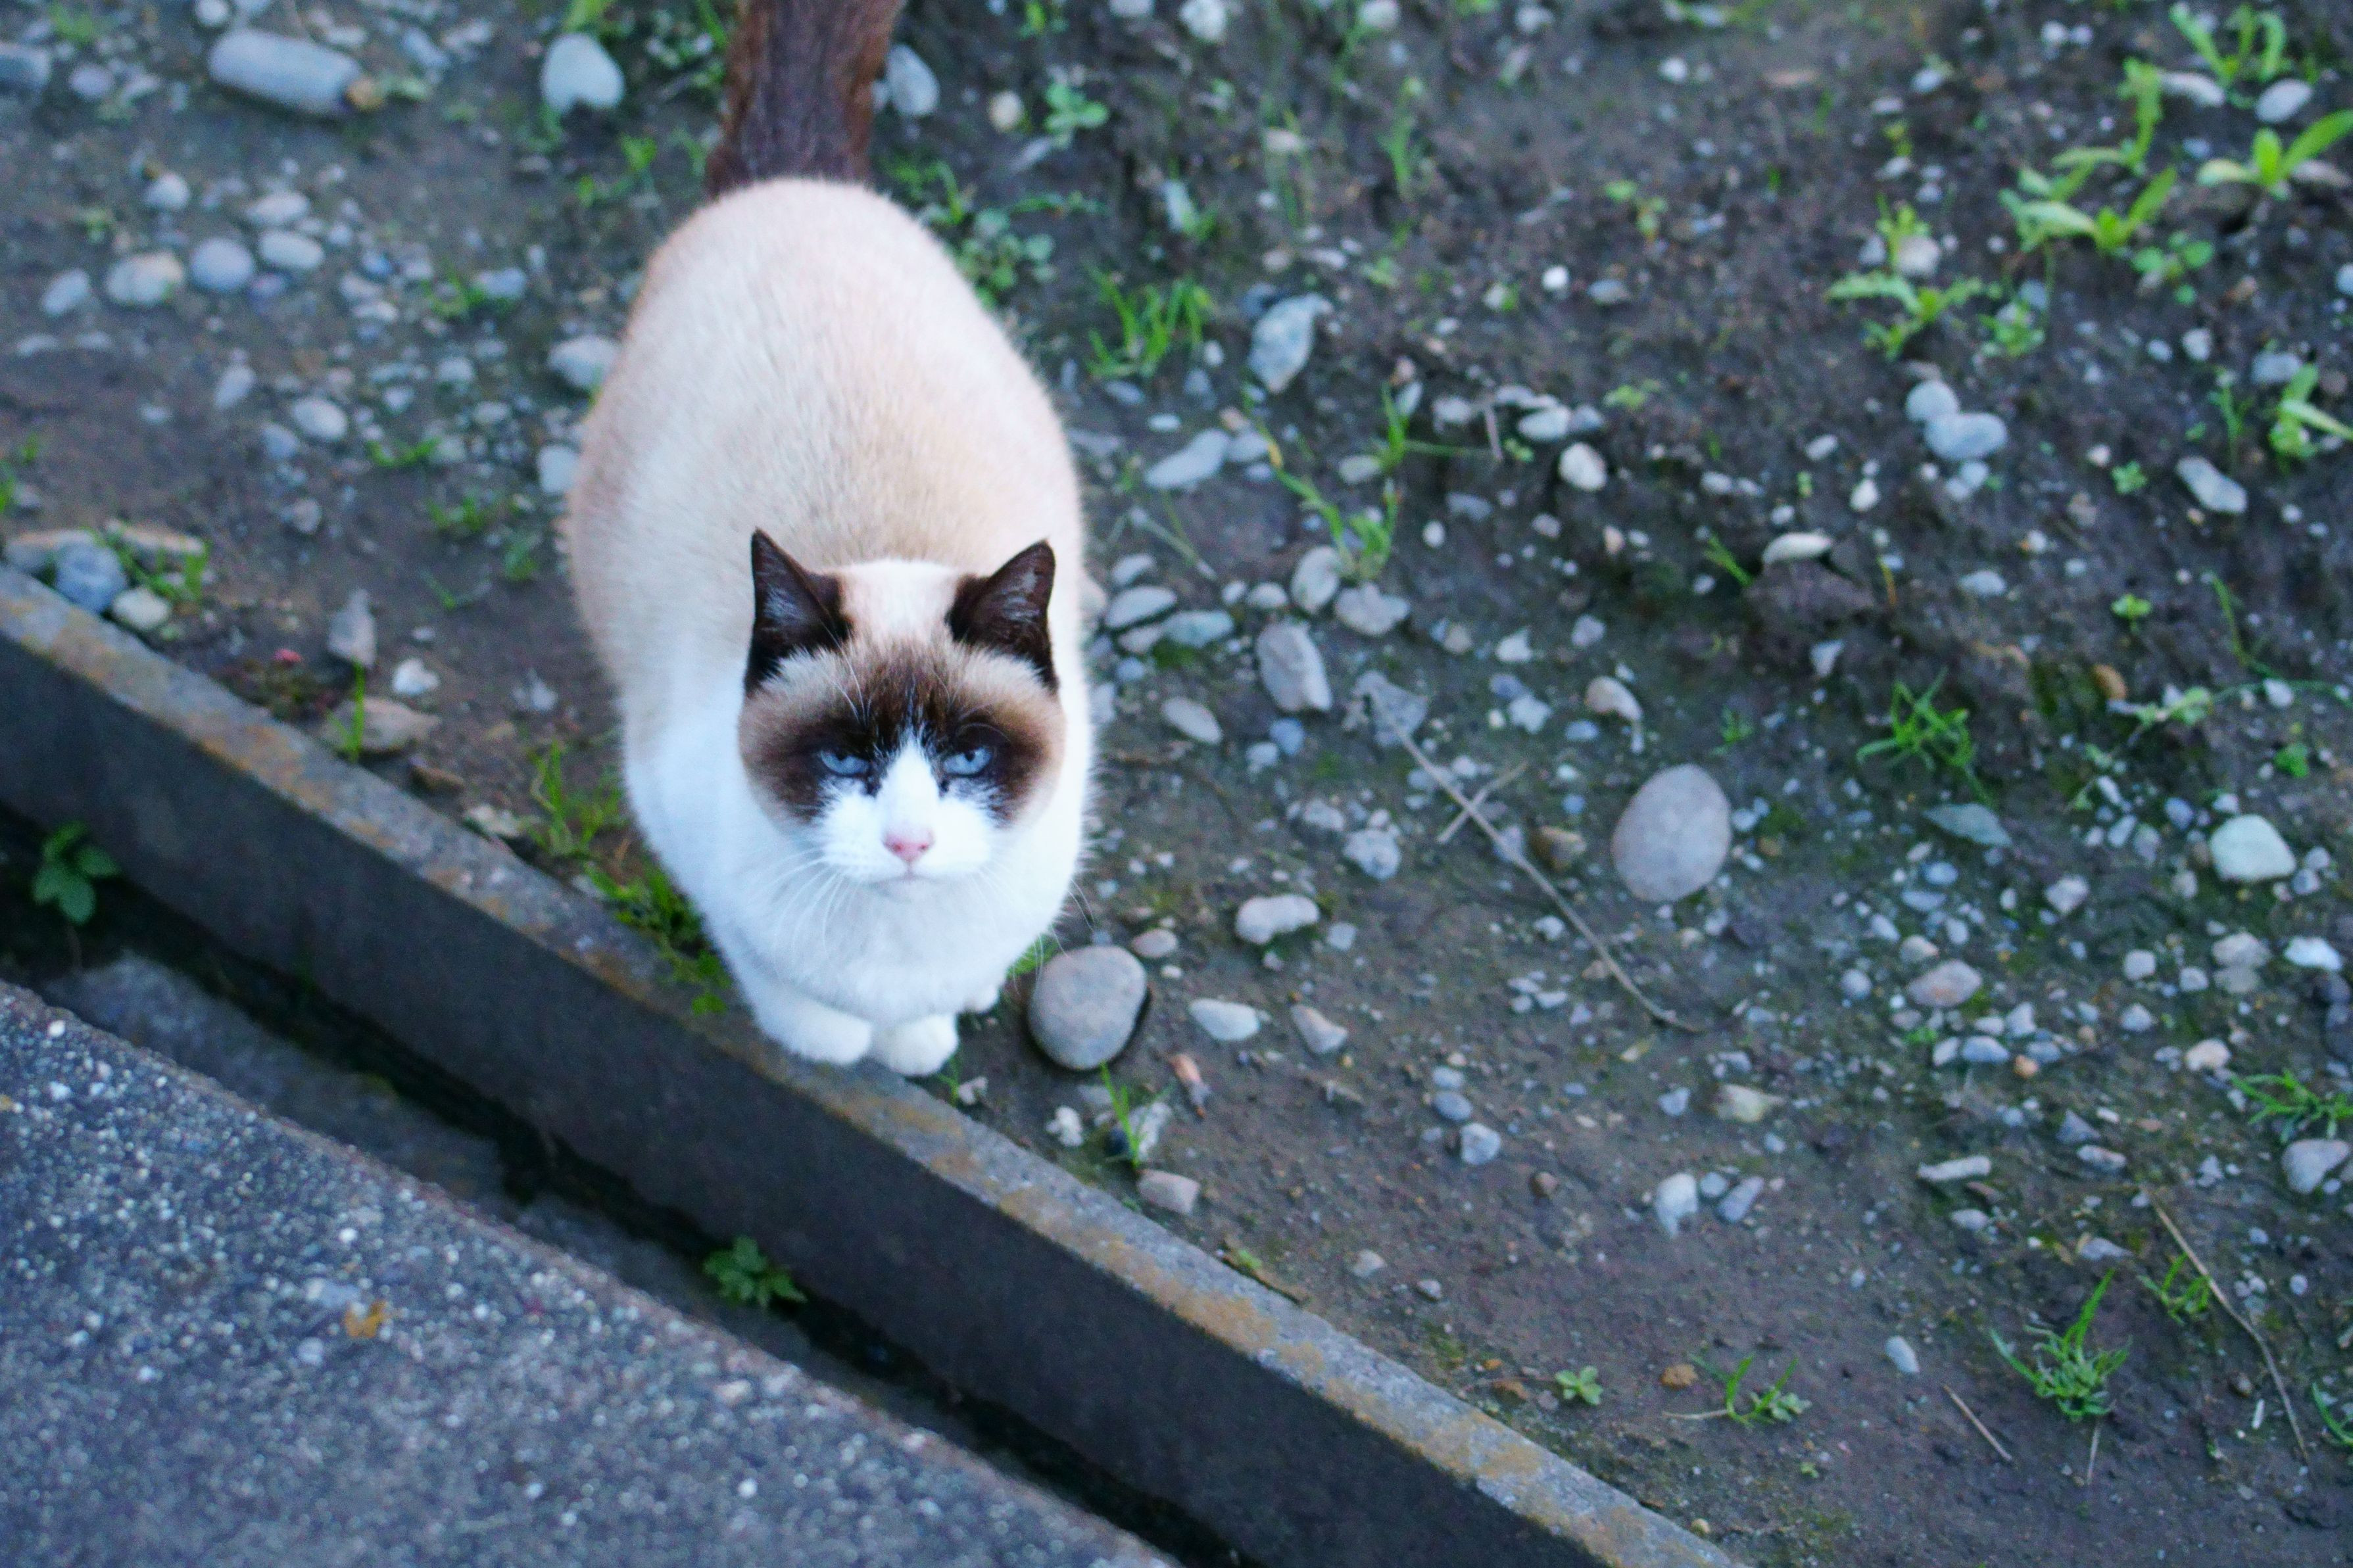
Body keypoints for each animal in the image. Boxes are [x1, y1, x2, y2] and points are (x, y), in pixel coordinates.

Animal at [561, 0, 1092, 1075]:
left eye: (968, 762)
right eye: (846, 763)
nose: (908, 844)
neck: (893, 944)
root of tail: (790, 191)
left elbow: (946, 1003)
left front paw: (929, 1030)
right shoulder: (680, 830)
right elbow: (804, 1009)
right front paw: (850, 1041)